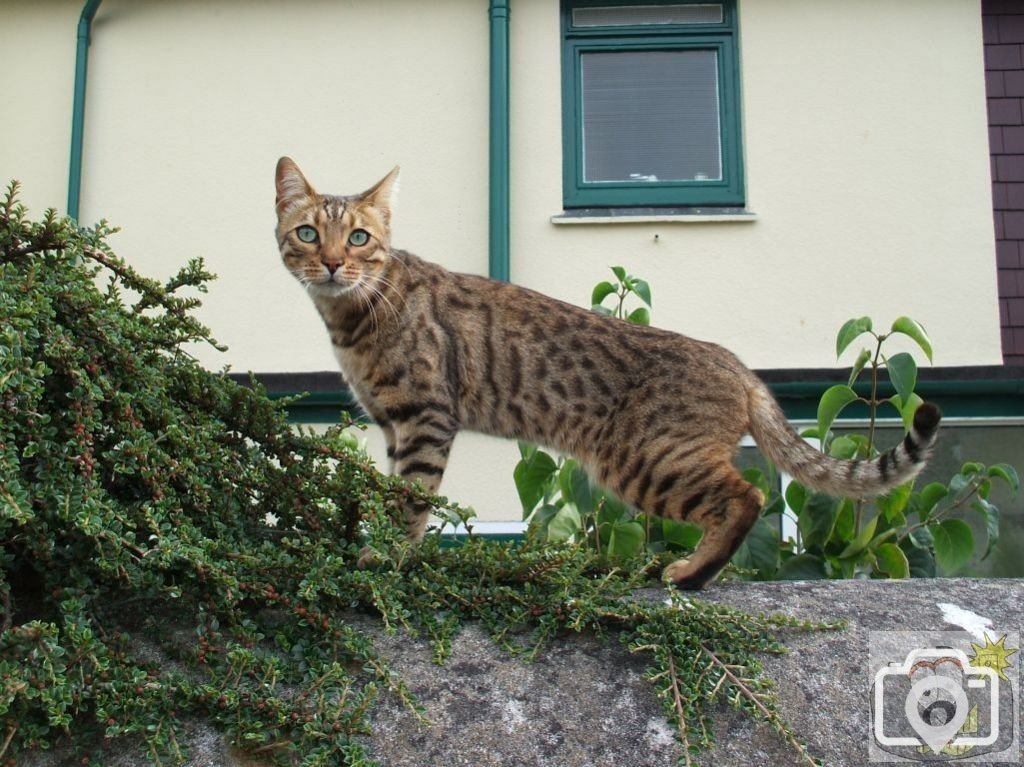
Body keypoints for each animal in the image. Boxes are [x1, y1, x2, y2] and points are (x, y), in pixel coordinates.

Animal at [274, 153, 942, 585]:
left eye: (359, 239)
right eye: (307, 233)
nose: (330, 263)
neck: (354, 315)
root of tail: (738, 365)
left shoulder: (424, 418)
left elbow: (410, 499)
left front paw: (386, 559)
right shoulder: (393, 425)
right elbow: (395, 492)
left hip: (645, 459)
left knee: (746, 496)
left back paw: (689, 574)